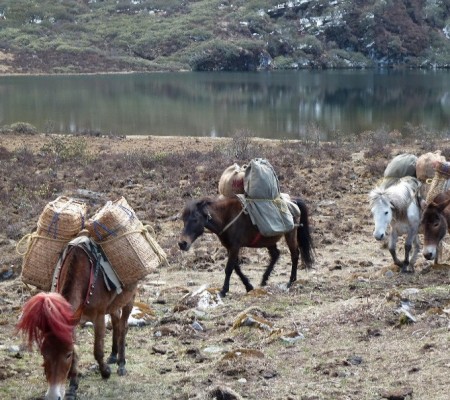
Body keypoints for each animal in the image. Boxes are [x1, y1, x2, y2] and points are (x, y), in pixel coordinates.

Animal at [16, 241, 136, 400]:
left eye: (67, 354)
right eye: (43, 353)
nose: (53, 396)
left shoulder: (98, 316)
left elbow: (97, 350)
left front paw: (105, 372)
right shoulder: (71, 320)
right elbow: (77, 349)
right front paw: (73, 387)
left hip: (130, 297)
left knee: (123, 326)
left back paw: (121, 363)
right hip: (114, 304)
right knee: (116, 322)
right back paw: (112, 355)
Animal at [178, 197, 314, 296]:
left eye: (195, 219)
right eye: (183, 220)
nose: (182, 243)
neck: (226, 217)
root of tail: (293, 201)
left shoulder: (235, 247)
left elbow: (229, 268)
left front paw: (223, 291)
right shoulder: (230, 247)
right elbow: (236, 267)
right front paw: (249, 286)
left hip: (290, 234)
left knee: (294, 254)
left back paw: (291, 281)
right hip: (269, 241)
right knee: (276, 255)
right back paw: (264, 280)